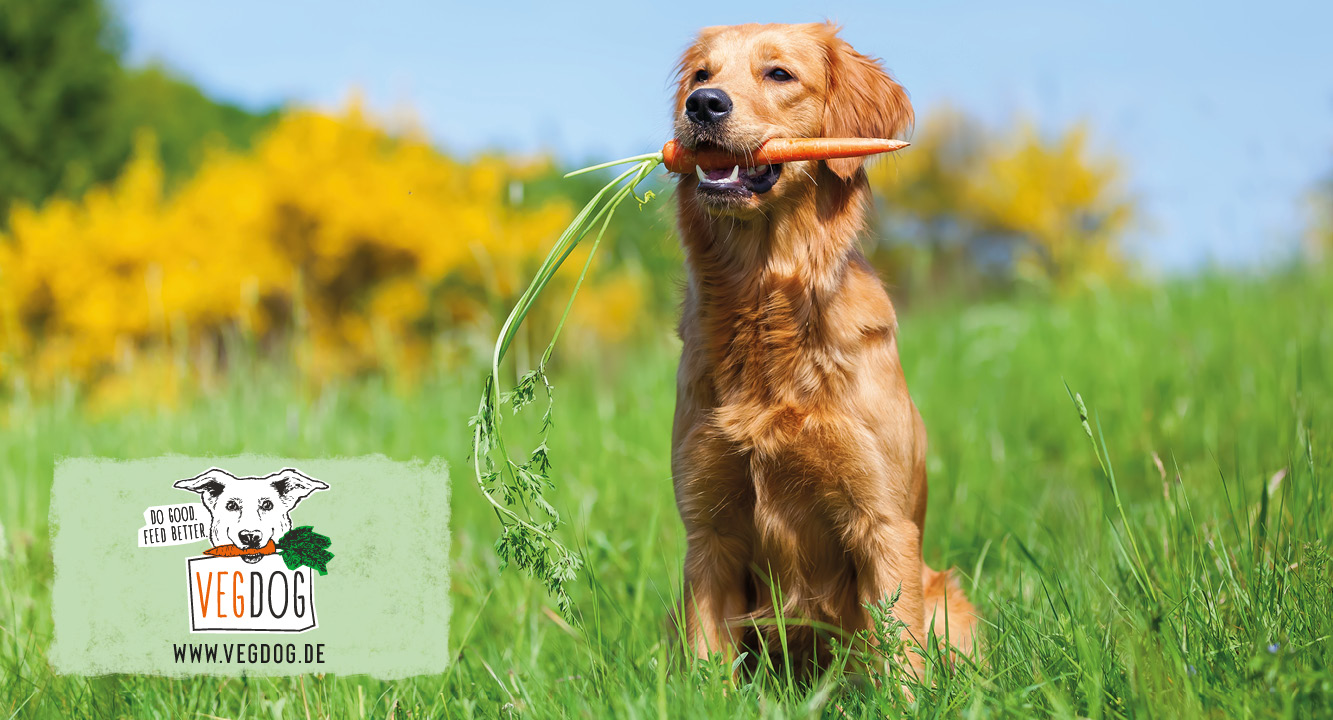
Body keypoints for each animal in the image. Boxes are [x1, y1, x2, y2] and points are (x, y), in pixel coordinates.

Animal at [671, 22, 975, 672]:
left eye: (779, 74)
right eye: (701, 75)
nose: (702, 106)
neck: (765, 305)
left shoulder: (881, 523)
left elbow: (903, 661)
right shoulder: (708, 532)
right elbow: (707, 661)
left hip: (947, 598)